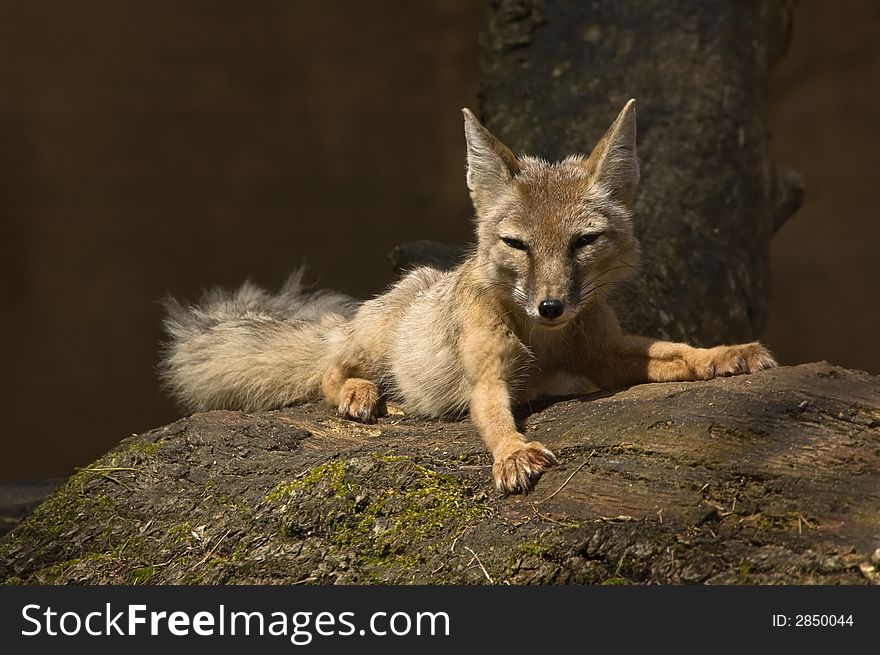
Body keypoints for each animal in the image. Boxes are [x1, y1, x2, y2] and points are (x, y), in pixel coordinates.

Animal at [160, 100, 776, 494]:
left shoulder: (605, 353)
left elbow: (677, 352)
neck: (546, 343)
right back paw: (359, 391)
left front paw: (728, 354)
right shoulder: (489, 377)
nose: (550, 306)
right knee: (329, 369)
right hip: (370, 341)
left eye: (583, 242)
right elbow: (496, 417)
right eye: (516, 244)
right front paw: (511, 453)